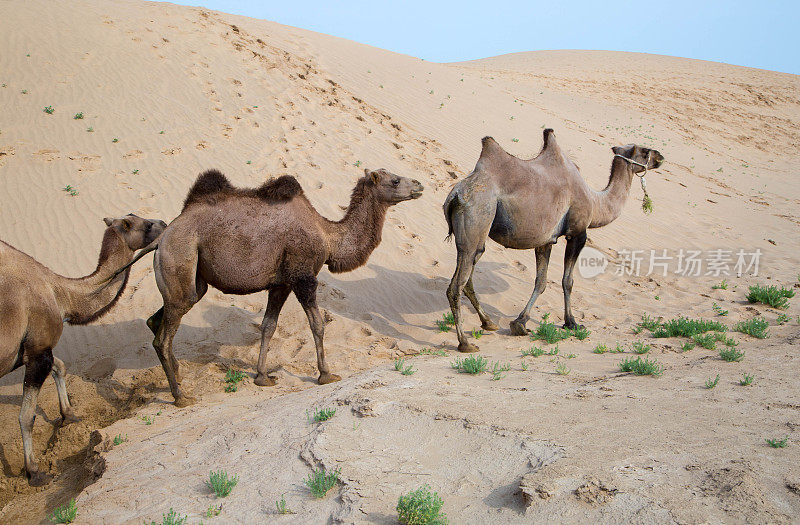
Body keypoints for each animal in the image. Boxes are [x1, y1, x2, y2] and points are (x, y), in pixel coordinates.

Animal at [0, 213, 166, 484]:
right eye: (145, 224)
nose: (164, 223)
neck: (60, 294)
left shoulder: (33, 351)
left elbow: (60, 367)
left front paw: (70, 415)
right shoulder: (38, 349)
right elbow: (26, 416)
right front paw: (34, 472)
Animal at [149, 168, 424, 406]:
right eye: (395, 180)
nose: (419, 185)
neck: (328, 236)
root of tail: (162, 238)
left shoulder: (281, 283)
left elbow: (268, 326)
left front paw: (262, 377)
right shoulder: (302, 276)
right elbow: (317, 325)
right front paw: (326, 375)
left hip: (194, 279)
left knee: (160, 319)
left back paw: (177, 375)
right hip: (180, 254)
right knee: (163, 337)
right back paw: (180, 396)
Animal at [444, 128, 664, 352]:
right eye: (645, 151)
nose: (660, 157)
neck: (596, 202)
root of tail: (456, 195)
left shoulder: (545, 240)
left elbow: (541, 281)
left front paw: (520, 323)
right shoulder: (578, 233)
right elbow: (568, 281)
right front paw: (571, 322)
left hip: (472, 236)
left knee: (468, 276)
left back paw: (488, 323)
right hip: (479, 214)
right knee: (456, 286)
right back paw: (465, 343)